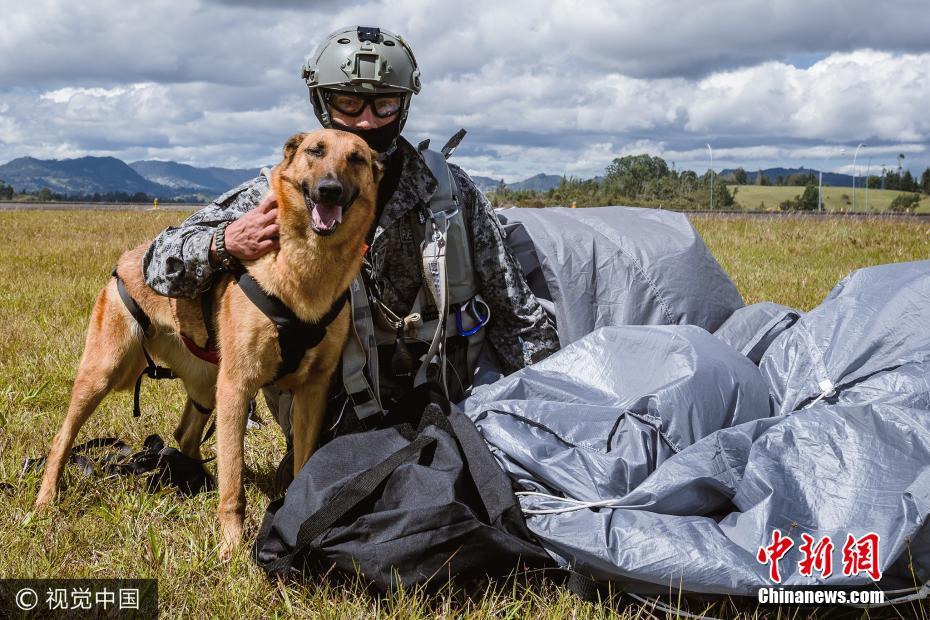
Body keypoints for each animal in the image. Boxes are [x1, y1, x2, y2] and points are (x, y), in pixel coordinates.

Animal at [32, 131, 380, 556]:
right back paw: (46, 499)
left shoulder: (312, 391)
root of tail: (129, 257)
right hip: (103, 374)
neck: (307, 265)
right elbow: (233, 481)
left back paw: (195, 481)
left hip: (205, 384)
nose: (329, 190)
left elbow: (302, 464)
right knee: (62, 438)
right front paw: (231, 547)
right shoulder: (237, 386)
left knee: (185, 434)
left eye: (356, 158)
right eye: (316, 151)